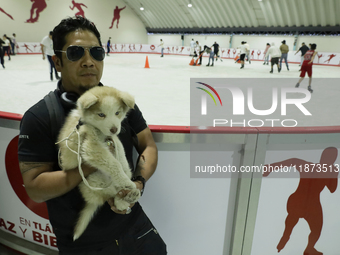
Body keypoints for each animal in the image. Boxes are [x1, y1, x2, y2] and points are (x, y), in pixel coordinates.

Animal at [57, 86, 141, 241]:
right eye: (101, 115)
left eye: (117, 113)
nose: (114, 129)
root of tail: (92, 200)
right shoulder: (92, 147)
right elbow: (113, 163)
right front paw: (126, 181)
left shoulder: (113, 140)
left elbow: (120, 154)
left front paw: (126, 174)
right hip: (94, 182)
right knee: (111, 196)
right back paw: (126, 194)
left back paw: (130, 196)